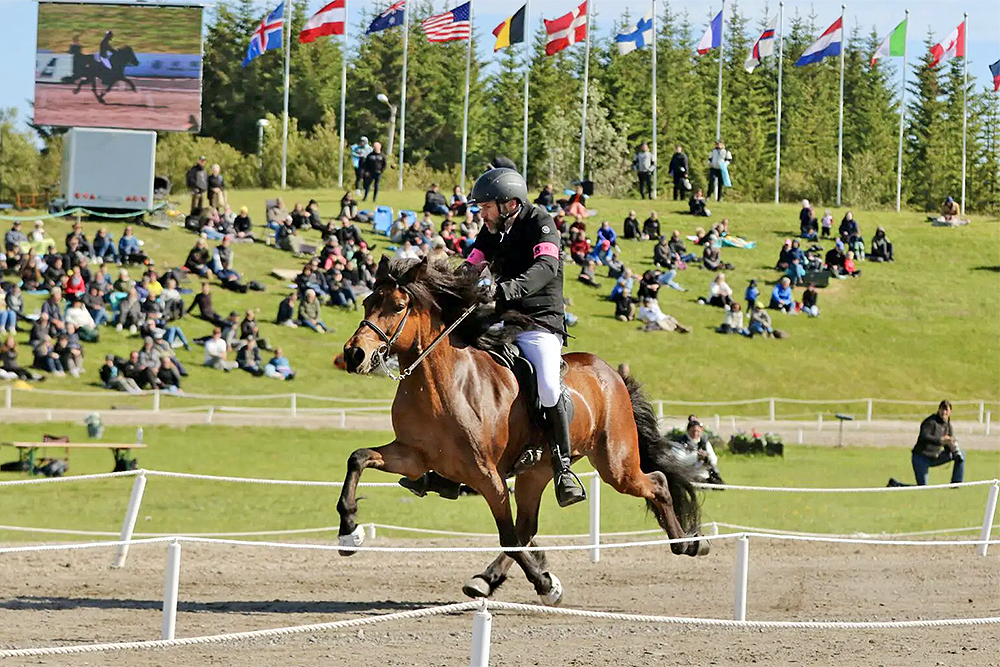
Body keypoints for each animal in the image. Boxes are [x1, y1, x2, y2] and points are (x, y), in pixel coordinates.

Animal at [340, 256, 708, 604]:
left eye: (397, 306)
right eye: (367, 302)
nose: (354, 354)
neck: (439, 384)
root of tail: (611, 373)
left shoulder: (487, 475)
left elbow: (509, 537)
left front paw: (547, 584)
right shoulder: (413, 457)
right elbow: (357, 458)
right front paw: (349, 532)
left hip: (615, 465)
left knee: (656, 483)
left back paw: (689, 543)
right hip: (537, 471)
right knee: (528, 525)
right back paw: (485, 580)